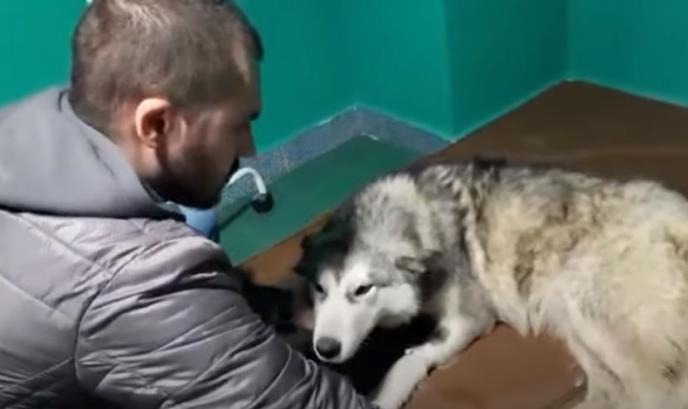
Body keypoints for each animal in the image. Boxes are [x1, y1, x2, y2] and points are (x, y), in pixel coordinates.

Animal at [294, 158, 688, 409]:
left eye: (363, 289)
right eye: (320, 289)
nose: (325, 349)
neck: (419, 221)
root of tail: (676, 216)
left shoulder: (469, 321)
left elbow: (409, 360)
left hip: (591, 316)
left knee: (657, 394)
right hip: (575, 328)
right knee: (615, 392)